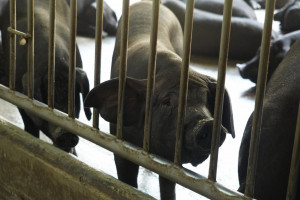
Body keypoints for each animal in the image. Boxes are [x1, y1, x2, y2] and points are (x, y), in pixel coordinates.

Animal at [84, 1, 234, 200]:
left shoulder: (171, 160)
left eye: (208, 101)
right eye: (166, 102)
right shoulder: (120, 142)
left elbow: (168, 184)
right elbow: (127, 178)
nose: (207, 122)